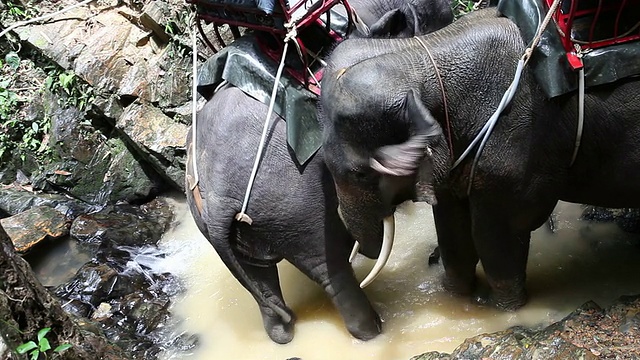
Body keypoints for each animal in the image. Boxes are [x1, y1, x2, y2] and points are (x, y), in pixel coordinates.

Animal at [318, 7, 640, 312]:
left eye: (359, 174)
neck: (419, 54)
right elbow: (452, 230)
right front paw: (455, 299)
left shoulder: (516, 148)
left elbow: (497, 236)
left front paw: (507, 310)